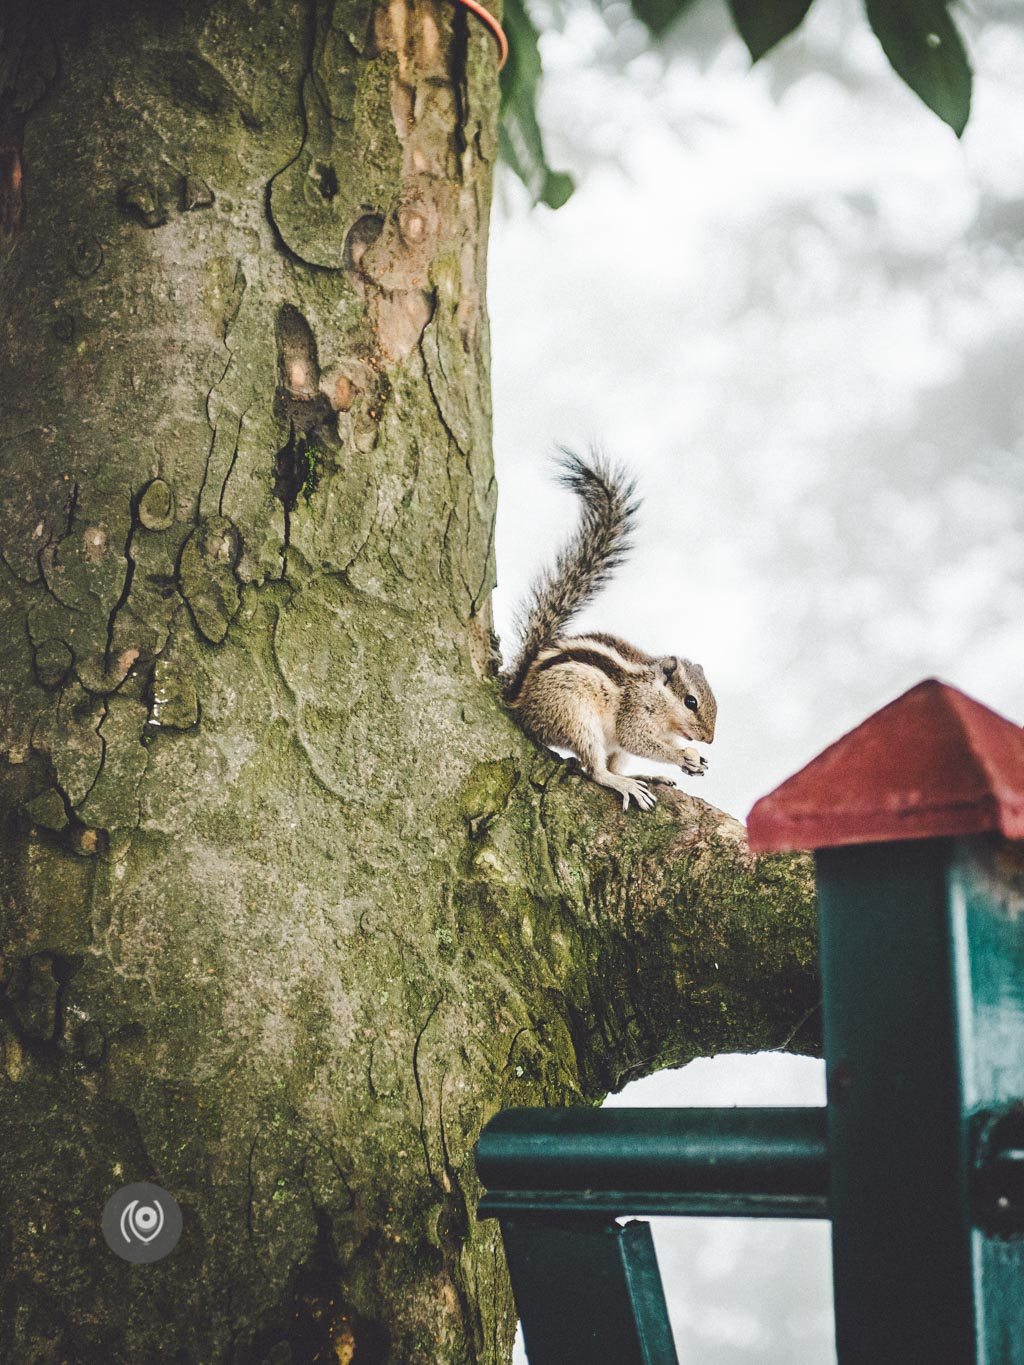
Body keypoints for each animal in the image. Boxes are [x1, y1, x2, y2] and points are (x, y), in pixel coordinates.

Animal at [502, 447, 715, 808]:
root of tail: (521, 702)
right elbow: (638, 740)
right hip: (575, 718)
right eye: (691, 702)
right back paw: (624, 783)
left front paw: (695, 759)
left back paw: (644, 776)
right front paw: (682, 755)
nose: (709, 739)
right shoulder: (634, 714)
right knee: (596, 770)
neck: (655, 694)